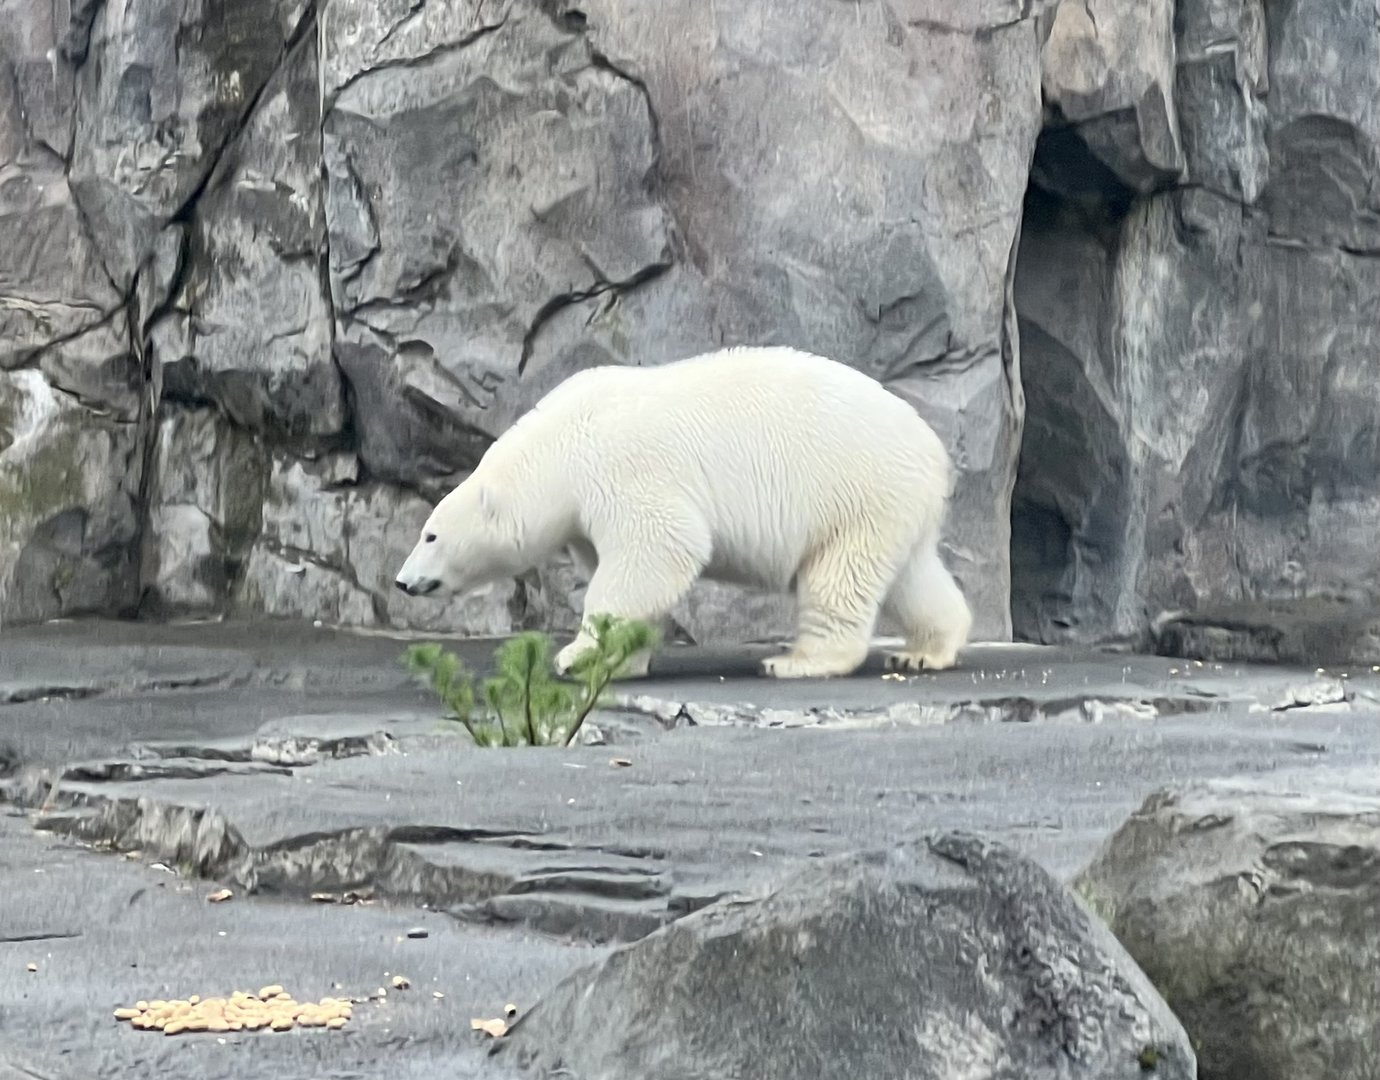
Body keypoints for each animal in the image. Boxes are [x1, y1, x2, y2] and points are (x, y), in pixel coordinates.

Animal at [394, 345, 973, 680]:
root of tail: (934, 452)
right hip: (892, 505)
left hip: (855, 491)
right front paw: (621, 660)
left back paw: (797, 661)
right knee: (911, 577)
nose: (402, 581)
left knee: (838, 577)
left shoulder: (623, 469)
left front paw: (573, 656)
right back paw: (923, 651)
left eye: (429, 535)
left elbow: (656, 550)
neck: (563, 444)